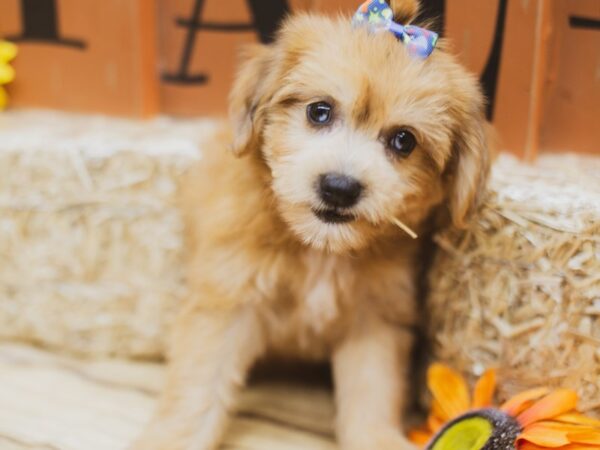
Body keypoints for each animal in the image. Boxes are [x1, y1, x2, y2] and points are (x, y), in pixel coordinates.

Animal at [131, 0, 488, 450]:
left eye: (403, 140)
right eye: (319, 111)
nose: (339, 188)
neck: (320, 248)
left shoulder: (375, 318)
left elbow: (372, 389)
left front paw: (377, 438)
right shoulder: (227, 299)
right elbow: (198, 385)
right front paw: (174, 439)